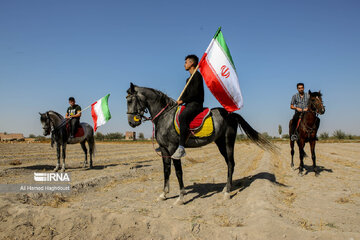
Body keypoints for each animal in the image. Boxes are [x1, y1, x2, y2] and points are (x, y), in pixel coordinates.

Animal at [125, 82, 274, 204]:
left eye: (130, 100)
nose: (131, 123)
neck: (164, 117)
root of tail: (231, 114)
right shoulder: (164, 149)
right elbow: (166, 170)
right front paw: (163, 194)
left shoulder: (173, 148)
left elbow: (178, 172)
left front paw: (181, 197)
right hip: (220, 143)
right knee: (228, 163)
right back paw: (226, 188)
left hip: (228, 141)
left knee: (231, 163)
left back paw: (227, 193)